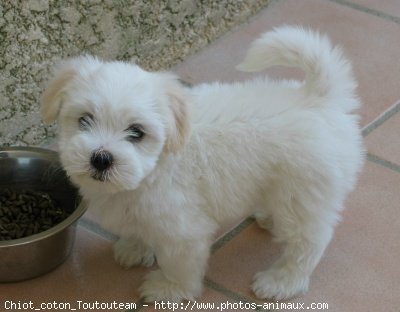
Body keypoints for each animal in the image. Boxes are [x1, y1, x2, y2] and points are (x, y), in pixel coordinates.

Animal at [41, 26, 366, 302]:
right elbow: (138, 229)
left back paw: (281, 281)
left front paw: (169, 288)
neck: (155, 168)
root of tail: (319, 100)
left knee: (308, 242)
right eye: (85, 120)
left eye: (136, 132)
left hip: (302, 194)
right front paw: (134, 247)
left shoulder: (183, 230)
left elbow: (180, 263)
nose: (101, 158)